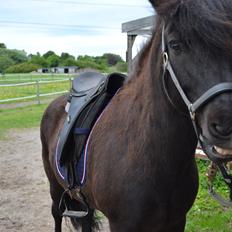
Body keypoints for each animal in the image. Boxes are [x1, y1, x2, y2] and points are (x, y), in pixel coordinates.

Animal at [40, 0, 232, 231]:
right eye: (175, 44)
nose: (227, 124)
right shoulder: (122, 224)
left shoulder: (177, 220)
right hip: (55, 188)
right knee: (57, 214)